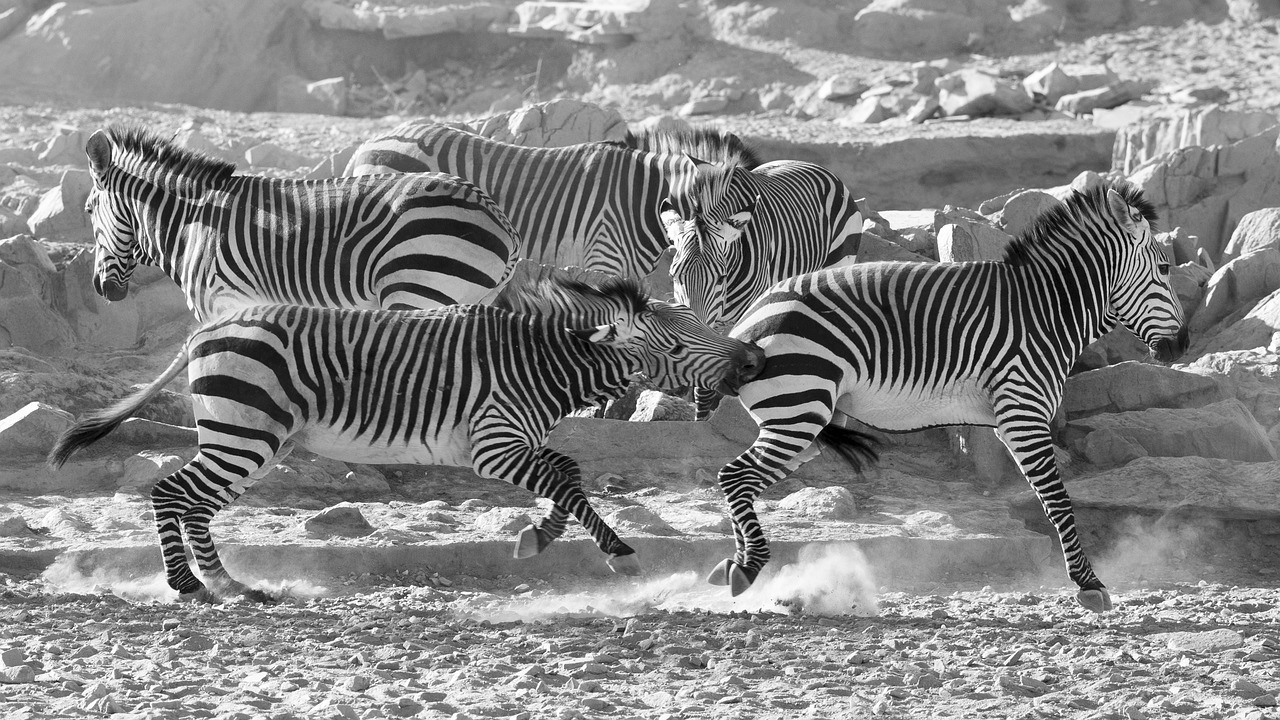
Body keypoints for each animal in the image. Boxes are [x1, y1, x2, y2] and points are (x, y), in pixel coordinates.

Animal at [49, 274, 762, 599]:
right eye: (676, 345)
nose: (754, 360)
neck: (541, 365)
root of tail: (206, 328)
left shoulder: (511, 443)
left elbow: (566, 473)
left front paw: (539, 536)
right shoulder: (492, 445)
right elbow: (566, 475)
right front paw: (617, 552)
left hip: (253, 439)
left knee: (195, 504)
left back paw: (231, 584)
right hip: (244, 434)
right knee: (172, 494)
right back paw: (190, 586)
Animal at [83, 124, 519, 320]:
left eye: (88, 210)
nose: (101, 290)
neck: (192, 223)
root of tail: (500, 218)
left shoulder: (222, 301)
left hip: (415, 290)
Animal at [706, 180, 1182, 609]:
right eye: (1163, 270)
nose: (1183, 346)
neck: (1045, 311)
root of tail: (745, 326)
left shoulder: (1012, 417)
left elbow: (1051, 498)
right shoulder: (1022, 412)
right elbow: (1057, 500)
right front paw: (1089, 584)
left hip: (802, 420)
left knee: (740, 480)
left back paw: (741, 567)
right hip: (798, 411)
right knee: (735, 475)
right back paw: (747, 567)